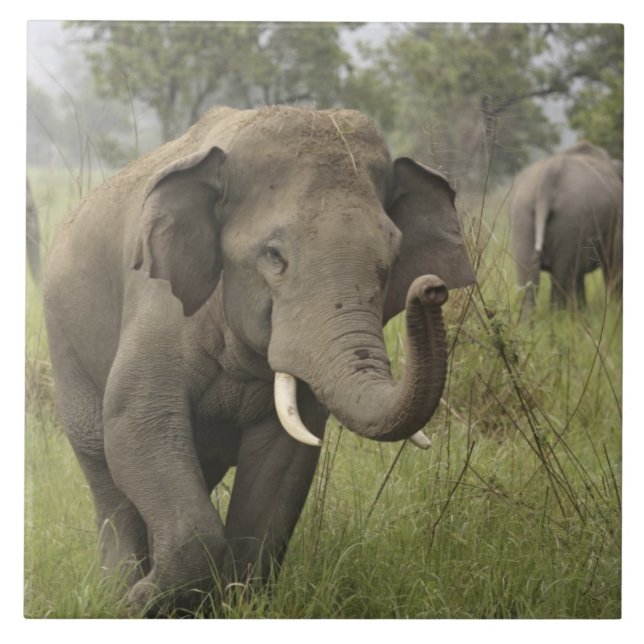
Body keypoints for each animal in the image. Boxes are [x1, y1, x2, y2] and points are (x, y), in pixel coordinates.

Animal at [43, 106, 475, 615]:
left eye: (390, 261)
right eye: (273, 256)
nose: (432, 289)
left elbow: (282, 462)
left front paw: (228, 606)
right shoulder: (158, 305)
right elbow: (136, 423)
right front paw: (140, 603)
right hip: (65, 345)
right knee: (105, 470)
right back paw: (118, 592)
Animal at [508, 141, 622, 314]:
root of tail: (547, 180)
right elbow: (615, 264)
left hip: (523, 213)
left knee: (529, 281)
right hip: (571, 220)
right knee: (562, 279)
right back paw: (559, 317)